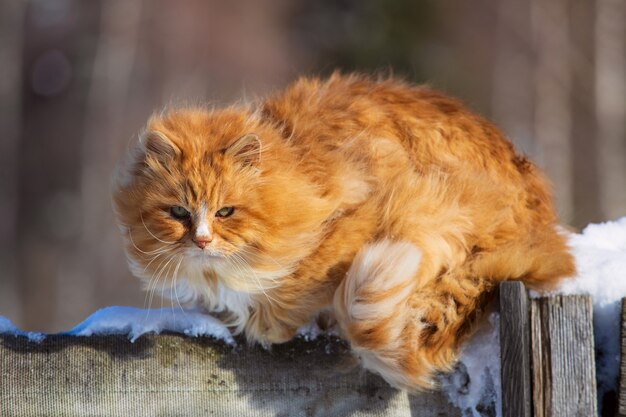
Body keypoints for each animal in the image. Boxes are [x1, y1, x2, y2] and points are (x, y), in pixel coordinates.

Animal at [112, 73, 572, 388]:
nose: (201, 240)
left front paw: (265, 325)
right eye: (177, 212)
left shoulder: (358, 221)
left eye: (226, 212)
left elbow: (296, 290)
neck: (299, 162)